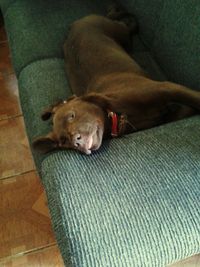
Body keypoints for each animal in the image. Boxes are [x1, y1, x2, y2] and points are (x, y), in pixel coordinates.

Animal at [32, 14, 200, 155]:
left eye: (71, 115)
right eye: (64, 141)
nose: (76, 142)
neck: (117, 113)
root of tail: (73, 25)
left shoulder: (166, 87)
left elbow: (193, 97)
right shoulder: (165, 116)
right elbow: (184, 111)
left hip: (119, 33)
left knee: (125, 24)